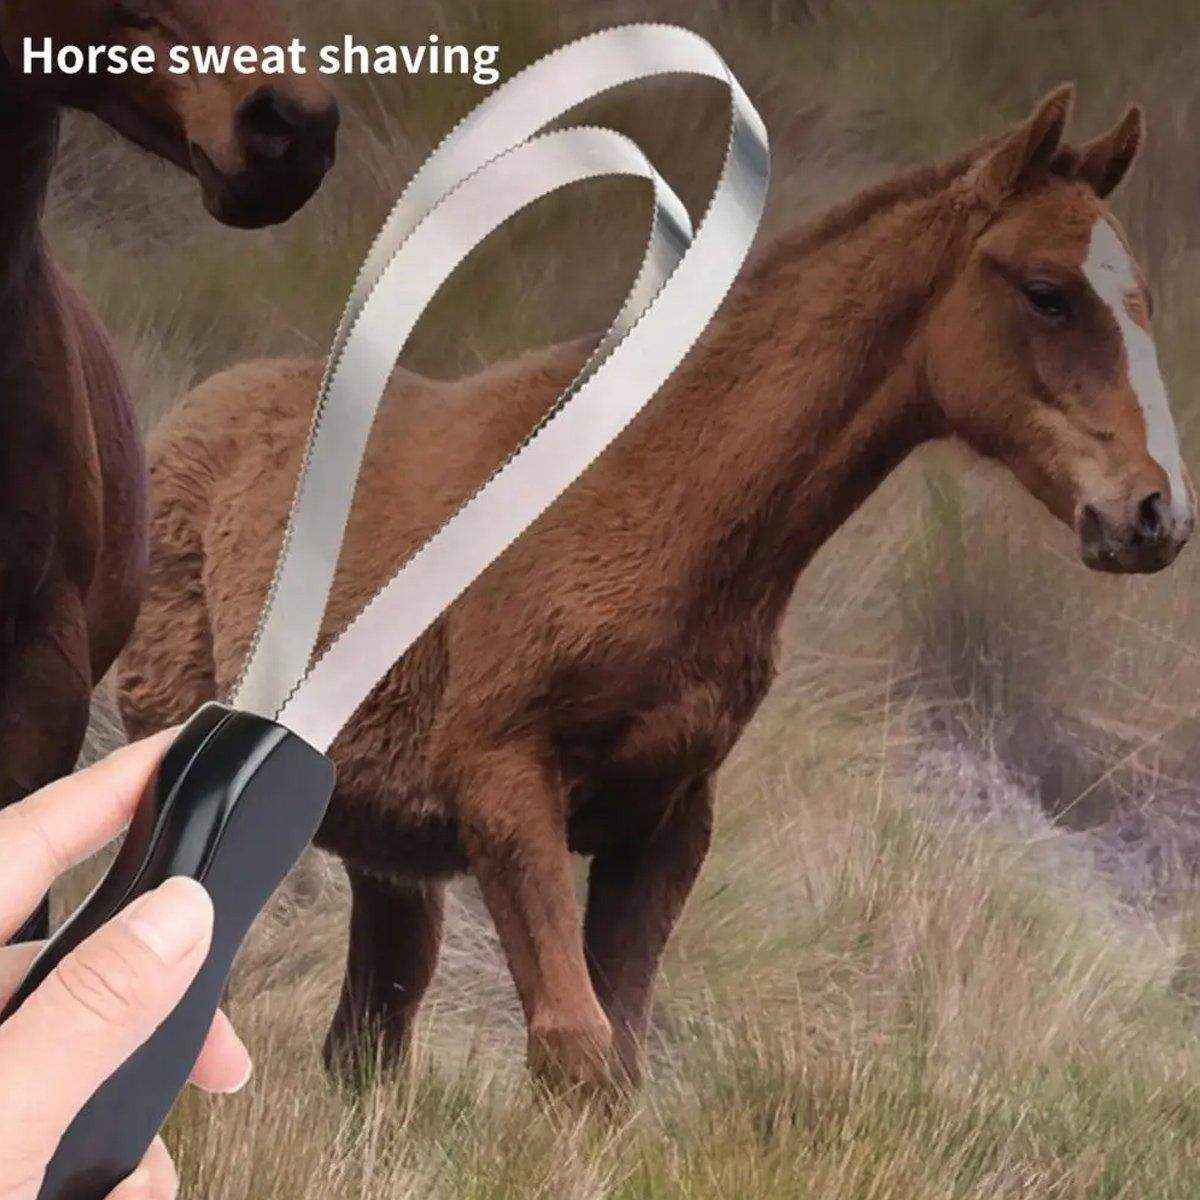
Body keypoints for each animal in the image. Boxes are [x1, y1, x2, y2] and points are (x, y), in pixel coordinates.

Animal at [118, 87, 1195, 1096]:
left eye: (1142, 298)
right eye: (1047, 292)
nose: (1156, 514)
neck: (653, 492)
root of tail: (185, 418)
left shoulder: (665, 821)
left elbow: (617, 1057)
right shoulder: (502, 783)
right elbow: (574, 1048)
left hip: (384, 846)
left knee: (370, 1032)